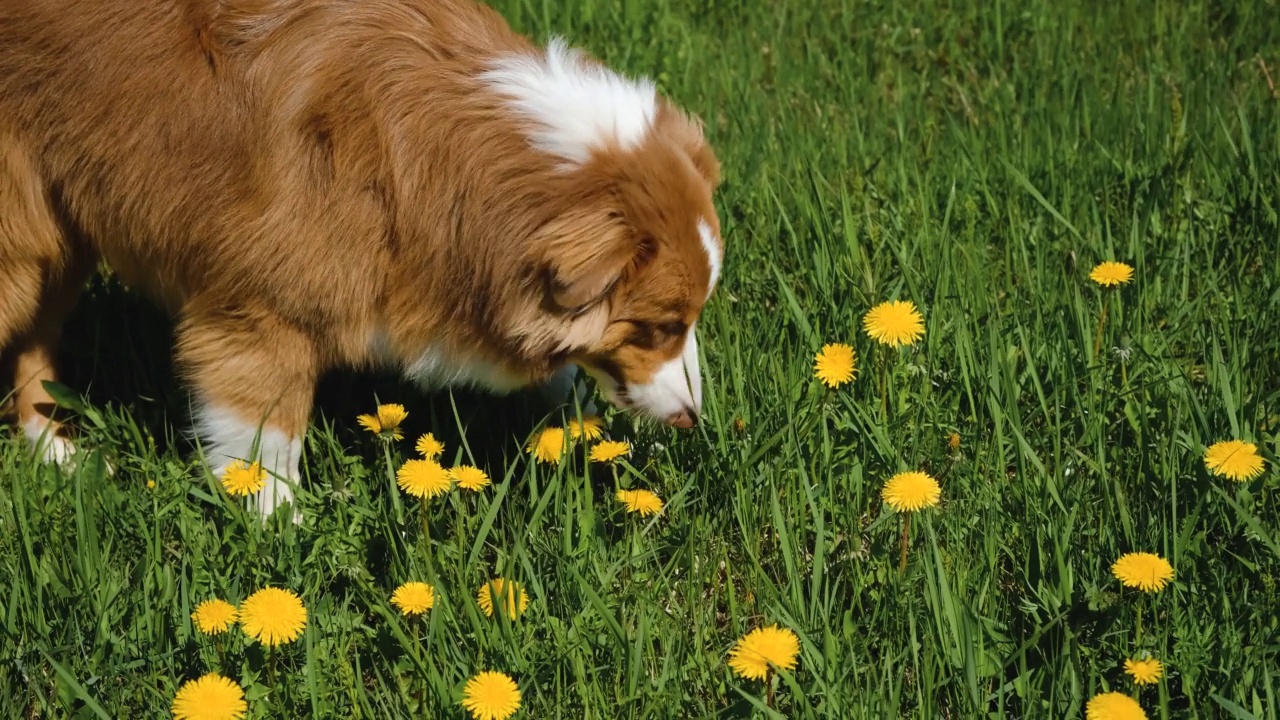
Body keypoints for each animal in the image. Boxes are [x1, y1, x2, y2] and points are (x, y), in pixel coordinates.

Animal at [0, 0, 721, 515]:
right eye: (660, 327)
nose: (693, 421)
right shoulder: (259, 311)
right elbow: (266, 439)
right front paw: (280, 535)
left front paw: (580, 427)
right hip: (23, 241)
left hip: (60, 237)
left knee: (36, 341)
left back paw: (56, 453)